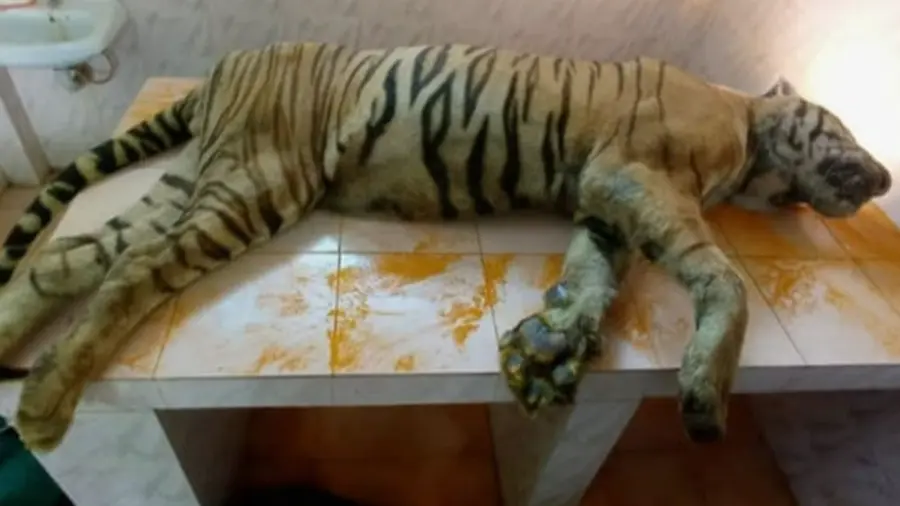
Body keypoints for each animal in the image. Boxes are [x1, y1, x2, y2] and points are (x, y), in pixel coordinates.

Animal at [0, 41, 891, 453]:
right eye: (844, 126)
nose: (884, 177)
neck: (747, 142)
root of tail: (222, 67)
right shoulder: (634, 177)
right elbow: (723, 277)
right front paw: (707, 389)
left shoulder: (607, 203)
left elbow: (592, 282)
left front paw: (547, 352)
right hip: (255, 181)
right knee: (133, 270)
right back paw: (44, 410)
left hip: (194, 182)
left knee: (67, 259)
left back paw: (23, 368)